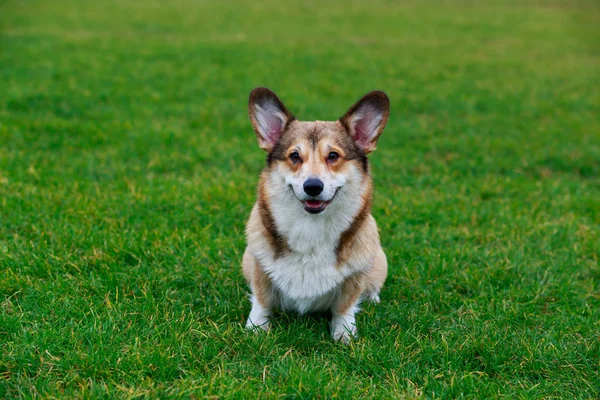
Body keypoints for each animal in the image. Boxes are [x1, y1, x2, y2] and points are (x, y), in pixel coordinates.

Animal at [241, 87, 392, 344]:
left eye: (333, 156)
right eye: (294, 156)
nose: (313, 186)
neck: (310, 228)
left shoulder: (354, 277)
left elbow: (344, 307)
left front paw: (345, 334)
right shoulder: (259, 266)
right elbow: (262, 301)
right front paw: (255, 329)